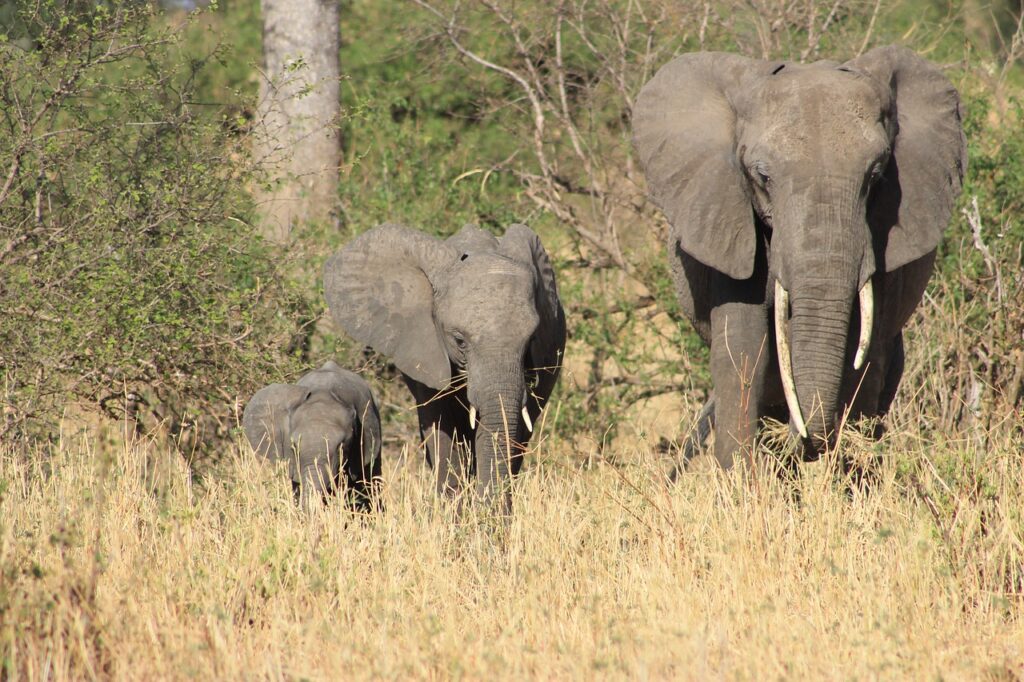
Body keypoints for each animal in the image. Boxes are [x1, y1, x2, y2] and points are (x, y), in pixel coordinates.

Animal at [630, 43, 966, 466]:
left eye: (875, 175)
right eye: (762, 177)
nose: (804, 437)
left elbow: (865, 352)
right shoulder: (728, 218)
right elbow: (743, 346)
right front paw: (739, 479)